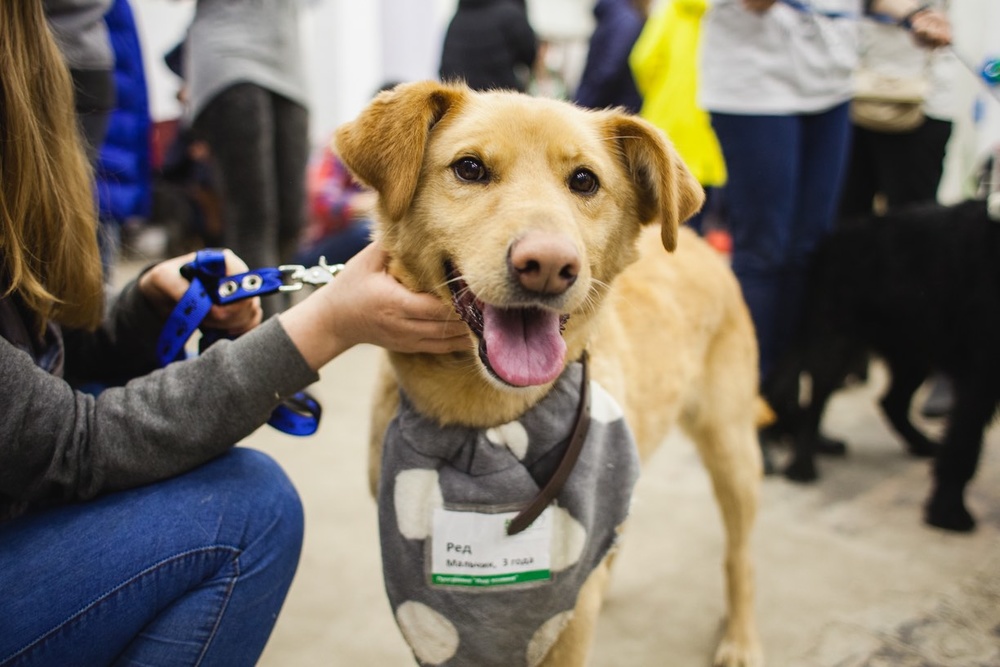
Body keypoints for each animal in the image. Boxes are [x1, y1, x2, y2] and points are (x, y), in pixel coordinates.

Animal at [336, 81, 764, 664]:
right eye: (469, 168)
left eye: (584, 180)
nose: (548, 266)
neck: (487, 420)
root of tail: (701, 243)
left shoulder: (568, 622)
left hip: (732, 449)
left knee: (739, 555)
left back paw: (741, 637)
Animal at [760, 201, 996, 536]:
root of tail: (835, 236)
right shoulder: (981, 374)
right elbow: (964, 445)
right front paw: (948, 511)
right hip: (836, 339)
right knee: (816, 402)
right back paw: (802, 465)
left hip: (911, 349)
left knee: (890, 401)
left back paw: (919, 443)